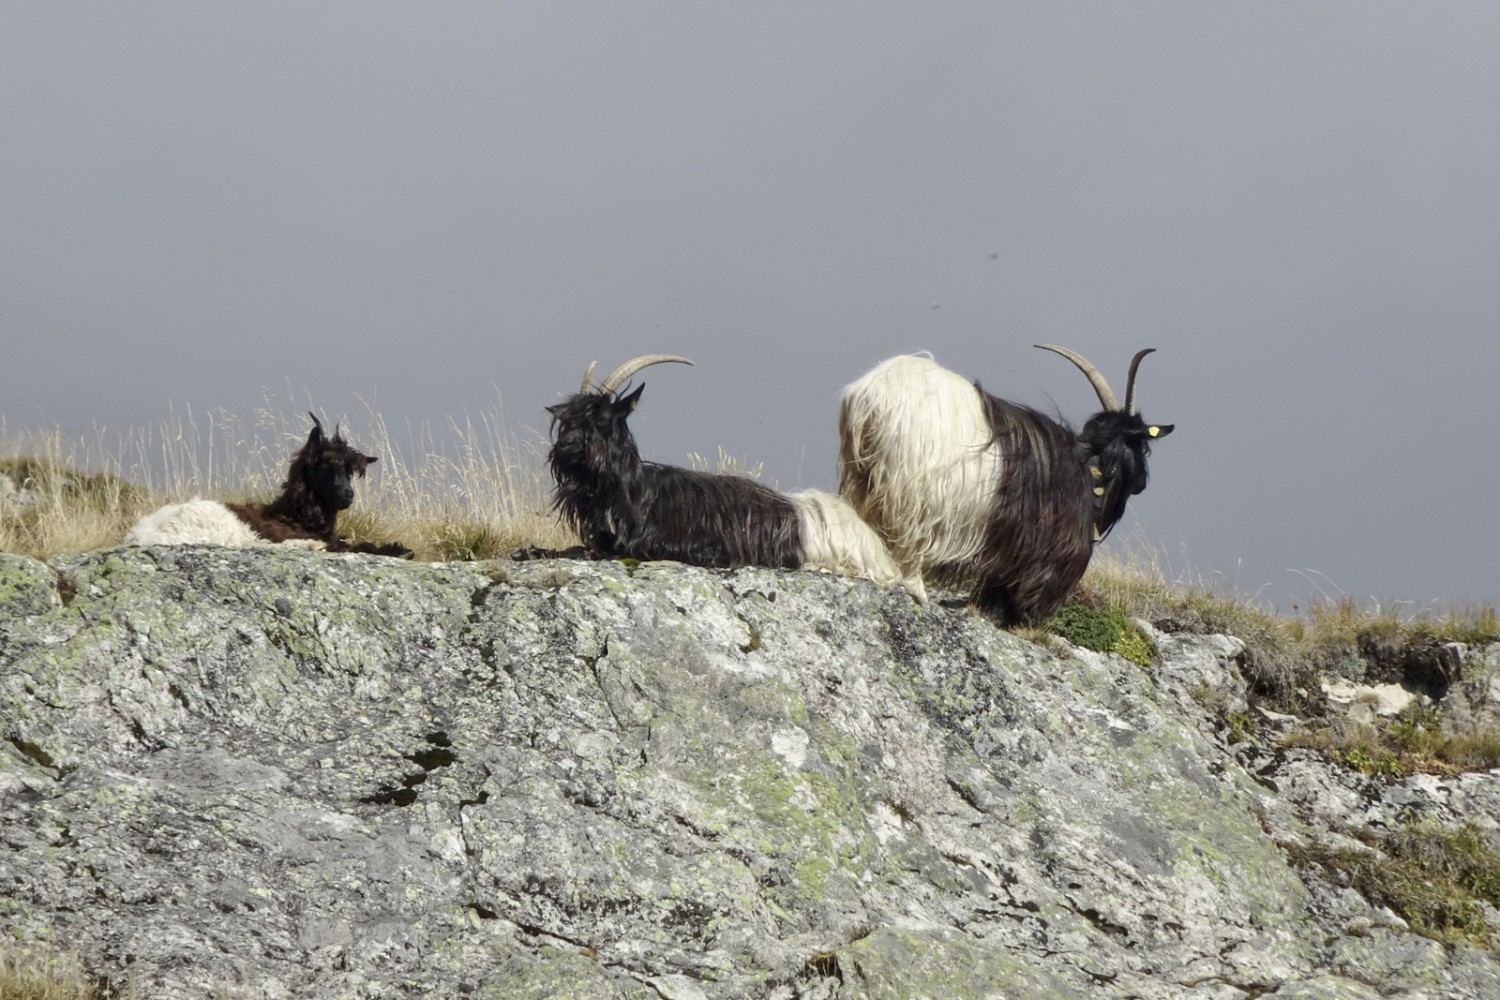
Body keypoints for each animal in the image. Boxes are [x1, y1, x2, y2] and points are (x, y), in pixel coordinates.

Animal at [125, 413, 411, 560]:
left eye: (349, 471)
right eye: (324, 467)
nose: (348, 495)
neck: (293, 515)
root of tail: (139, 535)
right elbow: (350, 545)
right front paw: (398, 550)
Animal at [840, 347, 1164, 620]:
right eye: (1142, 446)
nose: (1143, 482)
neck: (1087, 465)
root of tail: (869, 399)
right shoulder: (1050, 551)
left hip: (862, 479)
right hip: (910, 493)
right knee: (906, 545)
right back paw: (917, 592)